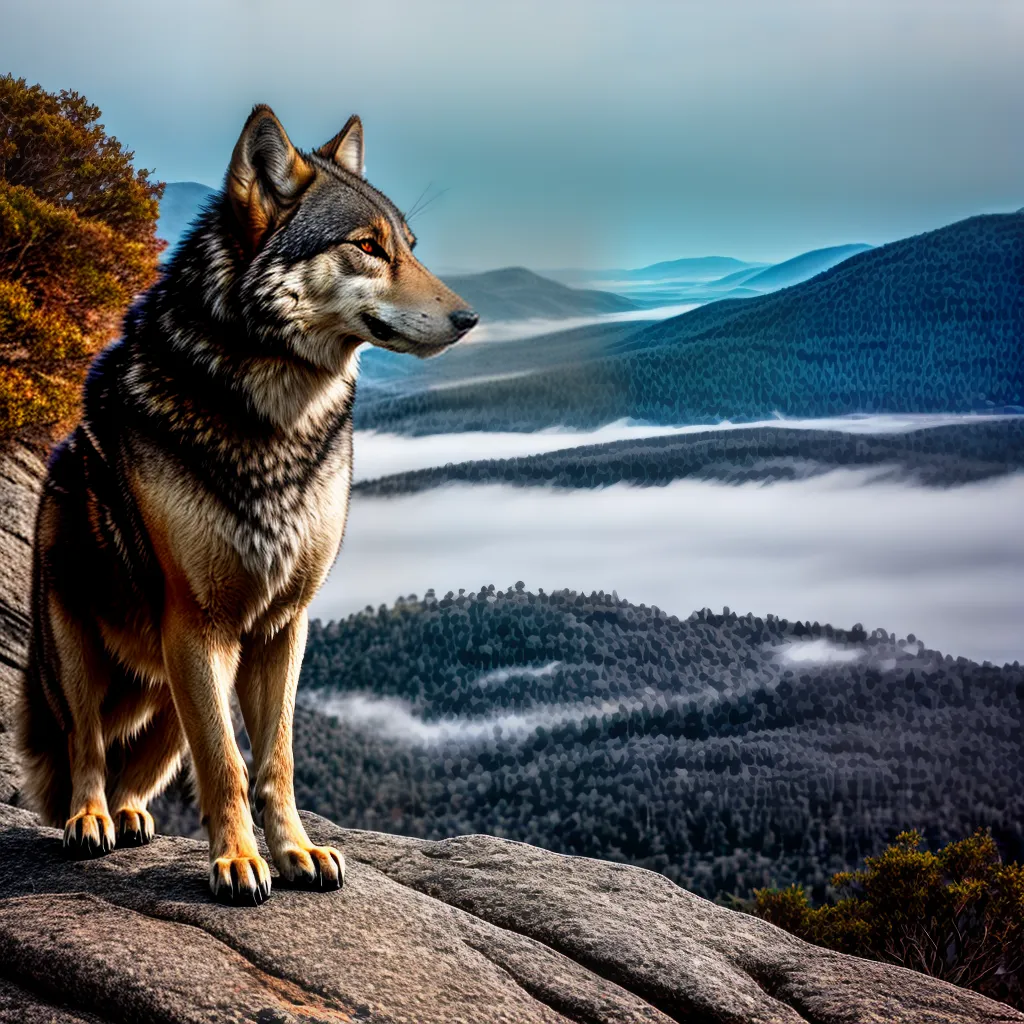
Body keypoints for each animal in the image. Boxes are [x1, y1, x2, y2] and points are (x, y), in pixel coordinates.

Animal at [17, 105, 477, 904]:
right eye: (368, 247)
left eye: (411, 248)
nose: (469, 318)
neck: (277, 420)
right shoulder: (199, 627)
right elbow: (227, 765)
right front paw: (236, 862)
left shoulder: (283, 624)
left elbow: (274, 760)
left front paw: (295, 852)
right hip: (82, 656)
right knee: (87, 746)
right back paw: (91, 819)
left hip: (174, 690)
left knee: (144, 768)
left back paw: (131, 818)